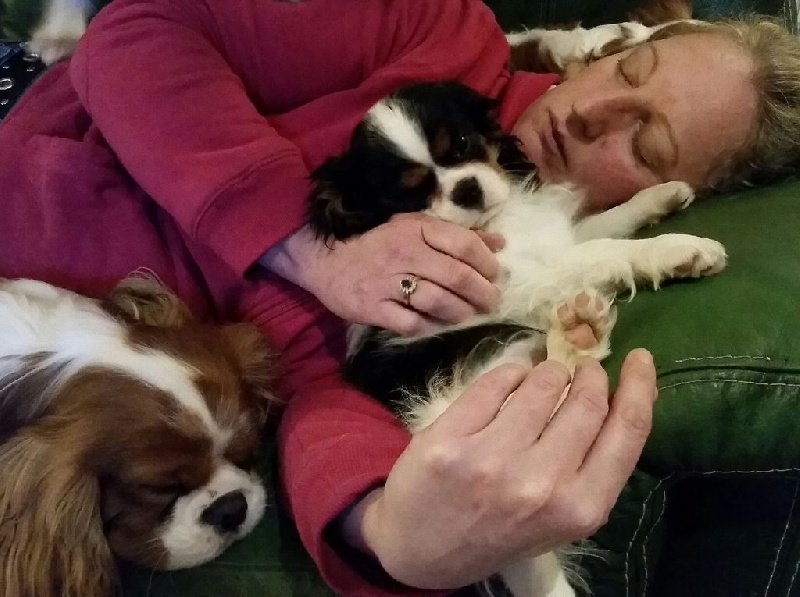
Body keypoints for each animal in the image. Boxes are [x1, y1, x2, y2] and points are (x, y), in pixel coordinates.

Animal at [306, 80, 726, 597]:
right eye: (413, 192)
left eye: (462, 144)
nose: (466, 188)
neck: (495, 225)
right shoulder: (506, 284)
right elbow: (600, 251)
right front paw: (679, 249)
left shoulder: (550, 240)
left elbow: (598, 226)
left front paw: (659, 196)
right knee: (556, 388)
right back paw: (576, 332)